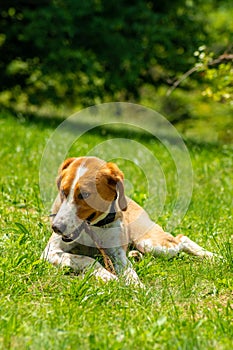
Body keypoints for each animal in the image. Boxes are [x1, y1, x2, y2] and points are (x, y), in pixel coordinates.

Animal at [41, 157, 214, 286]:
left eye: (85, 195)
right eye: (63, 191)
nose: (56, 227)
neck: (93, 228)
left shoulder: (117, 254)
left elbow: (129, 272)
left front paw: (138, 288)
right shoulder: (51, 252)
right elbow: (87, 259)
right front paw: (108, 276)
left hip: (150, 243)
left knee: (182, 239)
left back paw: (212, 256)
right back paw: (135, 255)